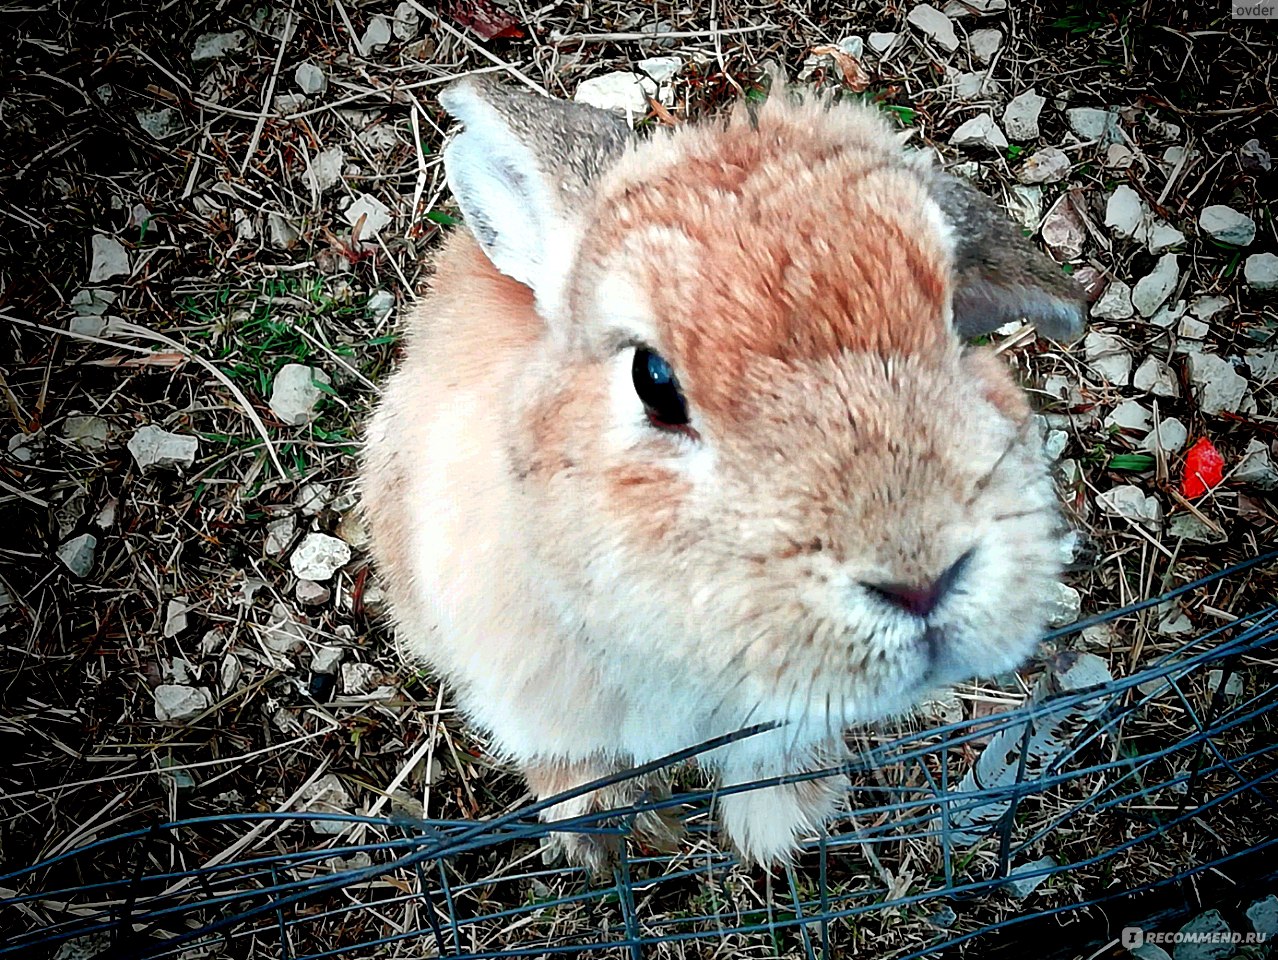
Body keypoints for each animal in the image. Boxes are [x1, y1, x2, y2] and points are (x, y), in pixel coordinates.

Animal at [357, 75, 1078, 869]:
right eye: (653, 380)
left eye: (954, 322)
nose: (921, 583)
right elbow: (574, 765)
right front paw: (600, 837)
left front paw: (783, 833)